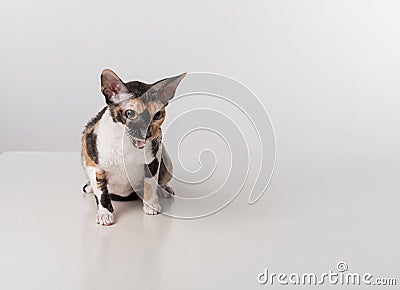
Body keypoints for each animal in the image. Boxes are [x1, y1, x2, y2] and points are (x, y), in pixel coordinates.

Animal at [81, 69, 188, 225]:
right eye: (130, 113)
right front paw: (105, 213)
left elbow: (150, 182)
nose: (147, 133)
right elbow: (101, 190)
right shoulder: (92, 159)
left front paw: (151, 204)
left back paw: (163, 190)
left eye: (157, 114)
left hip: (167, 161)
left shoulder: (154, 157)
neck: (126, 143)